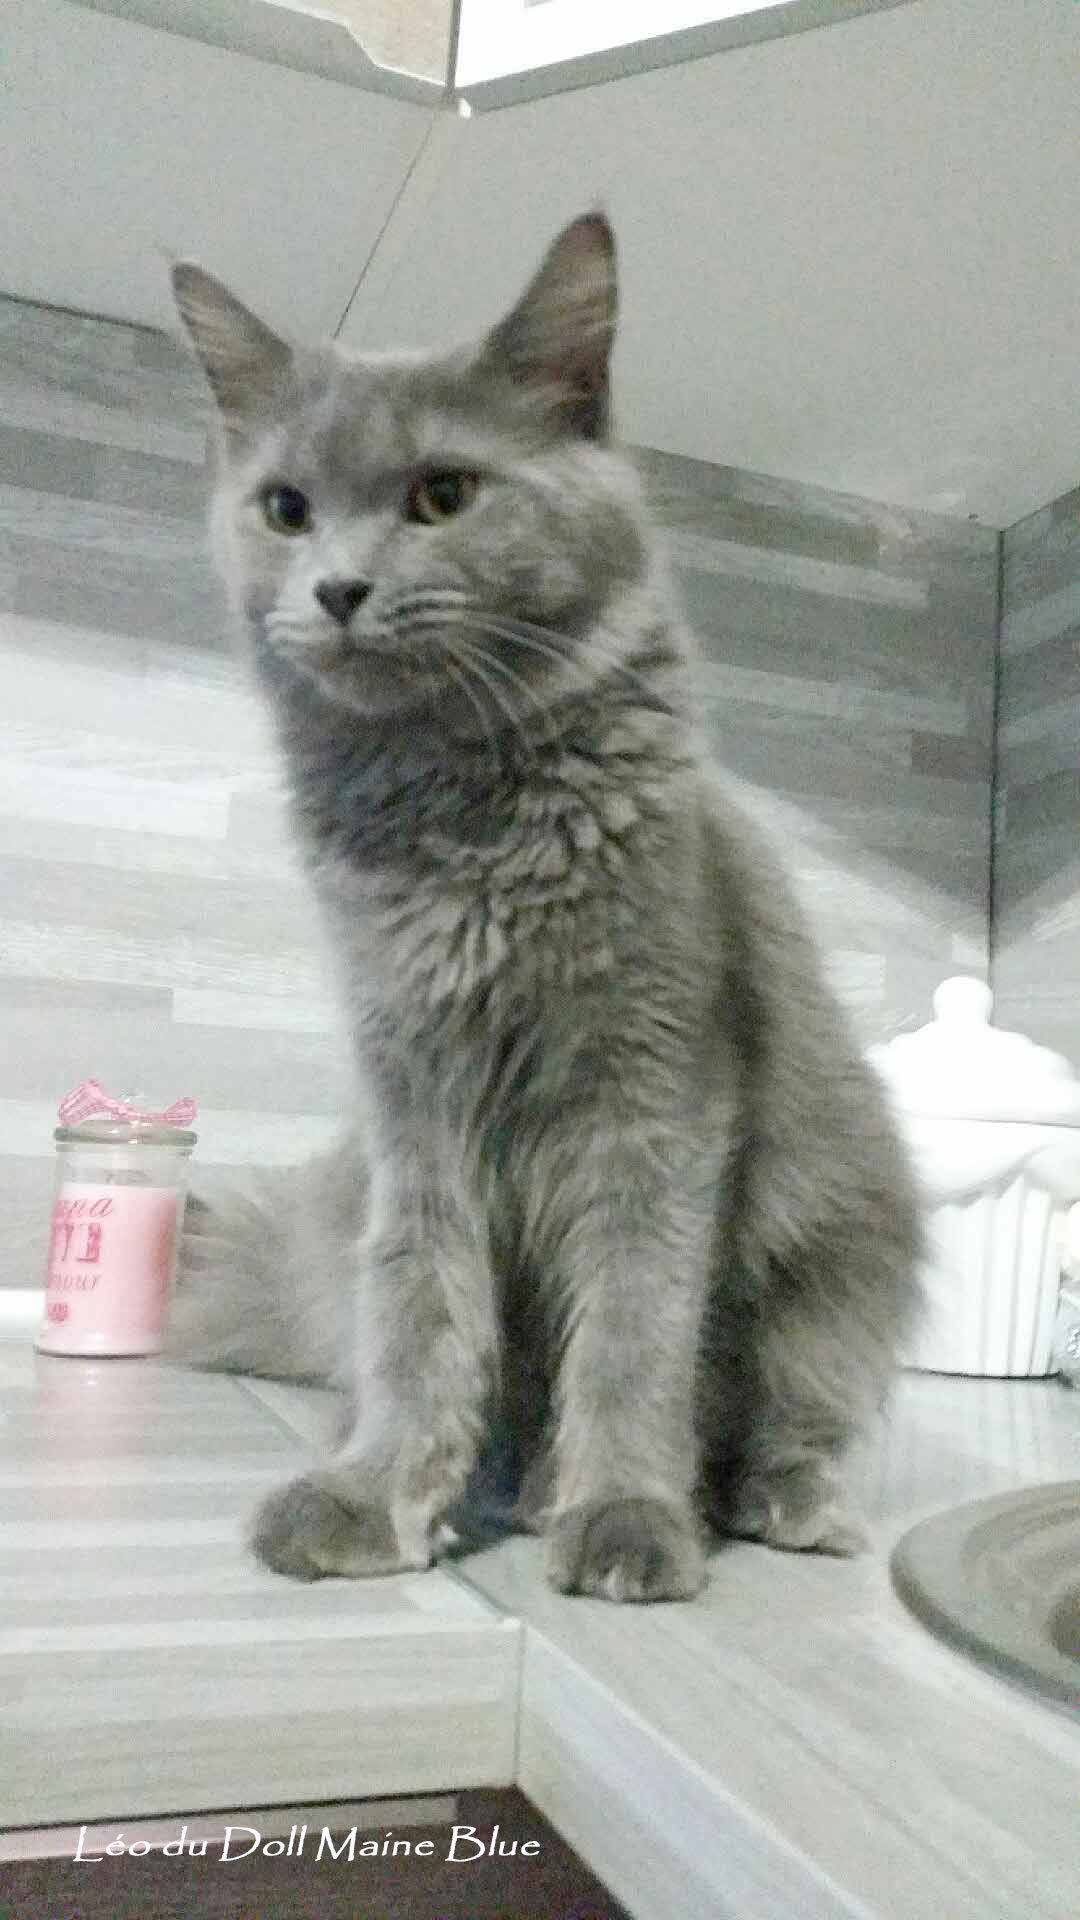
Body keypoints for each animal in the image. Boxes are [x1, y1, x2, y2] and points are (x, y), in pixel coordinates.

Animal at [167, 212, 922, 1602]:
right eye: (287, 510)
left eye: (442, 495)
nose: (338, 589)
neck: (461, 818)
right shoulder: (414, 1104)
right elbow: (422, 1318)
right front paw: (384, 1495)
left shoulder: (655, 1092)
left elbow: (634, 1326)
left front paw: (625, 1513)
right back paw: (503, 1486)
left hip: (847, 1247)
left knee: (794, 1417)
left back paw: (776, 1503)